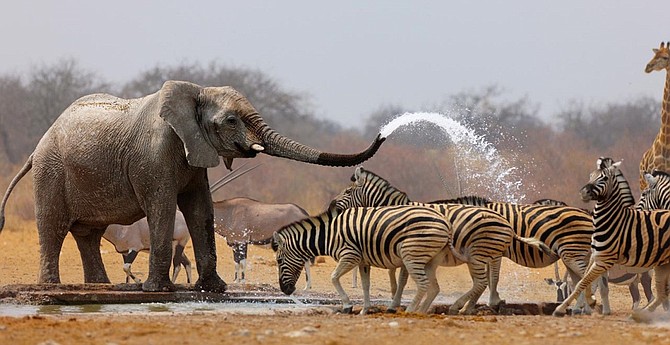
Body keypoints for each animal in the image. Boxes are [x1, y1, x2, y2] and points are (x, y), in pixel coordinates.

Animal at [0, 80, 386, 290]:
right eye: (231, 121)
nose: (383, 133)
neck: (196, 91)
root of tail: (37, 147)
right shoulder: (153, 155)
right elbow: (163, 206)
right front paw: (156, 291)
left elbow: (200, 209)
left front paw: (214, 289)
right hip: (50, 171)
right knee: (53, 227)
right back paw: (53, 287)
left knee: (88, 234)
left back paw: (100, 286)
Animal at [272, 203, 456, 314]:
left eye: (279, 261)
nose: (285, 290)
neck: (329, 235)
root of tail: (445, 221)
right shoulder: (363, 261)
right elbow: (365, 285)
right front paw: (364, 310)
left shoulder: (350, 255)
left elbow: (334, 277)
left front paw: (347, 306)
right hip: (430, 259)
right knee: (433, 287)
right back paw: (421, 311)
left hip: (411, 255)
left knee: (423, 284)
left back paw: (410, 310)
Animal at [346, 167, 604, 314]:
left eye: (348, 192)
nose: (336, 208)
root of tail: (585, 213)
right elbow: (489, 278)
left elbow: (402, 279)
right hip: (570, 255)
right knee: (581, 278)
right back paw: (579, 307)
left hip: (572, 252)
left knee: (585, 277)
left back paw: (583, 306)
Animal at [552, 157, 670, 316]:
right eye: (590, 175)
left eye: (604, 178)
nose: (584, 192)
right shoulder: (595, 259)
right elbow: (585, 282)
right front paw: (589, 306)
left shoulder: (603, 262)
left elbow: (590, 284)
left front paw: (587, 308)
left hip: (645, 273)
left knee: (652, 295)